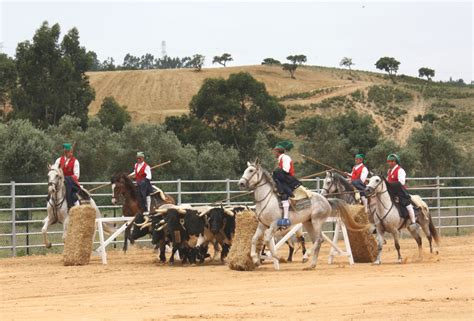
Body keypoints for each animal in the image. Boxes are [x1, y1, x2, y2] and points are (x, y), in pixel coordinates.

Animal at [237, 159, 366, 268]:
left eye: (251, 170)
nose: (241, 183)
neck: (267, 199)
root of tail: (326, 200)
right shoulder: (263, 225)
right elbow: (254, 239)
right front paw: (255, 259)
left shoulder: (274, 225)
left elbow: (267, 240)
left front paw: (279, 258)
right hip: (308, 223)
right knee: (316, 241)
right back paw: (312, 264)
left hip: (316, 221)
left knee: (319, 240)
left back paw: (306, 256)